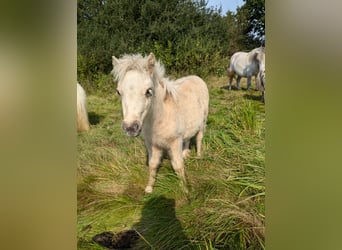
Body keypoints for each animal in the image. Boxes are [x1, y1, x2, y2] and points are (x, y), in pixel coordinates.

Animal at [111, 52, 208, 193]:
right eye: (118, 92)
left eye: (149, 91)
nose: (130, 128)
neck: (159, 118)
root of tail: (197, 77)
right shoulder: (152, 144)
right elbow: (152, 164)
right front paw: (149, 188)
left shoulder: (174, 142)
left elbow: (178, 166)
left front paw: (185, 189)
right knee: (187, 138)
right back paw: (186, 154)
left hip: (203, 122)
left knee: (199, 138)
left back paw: (199, 157)